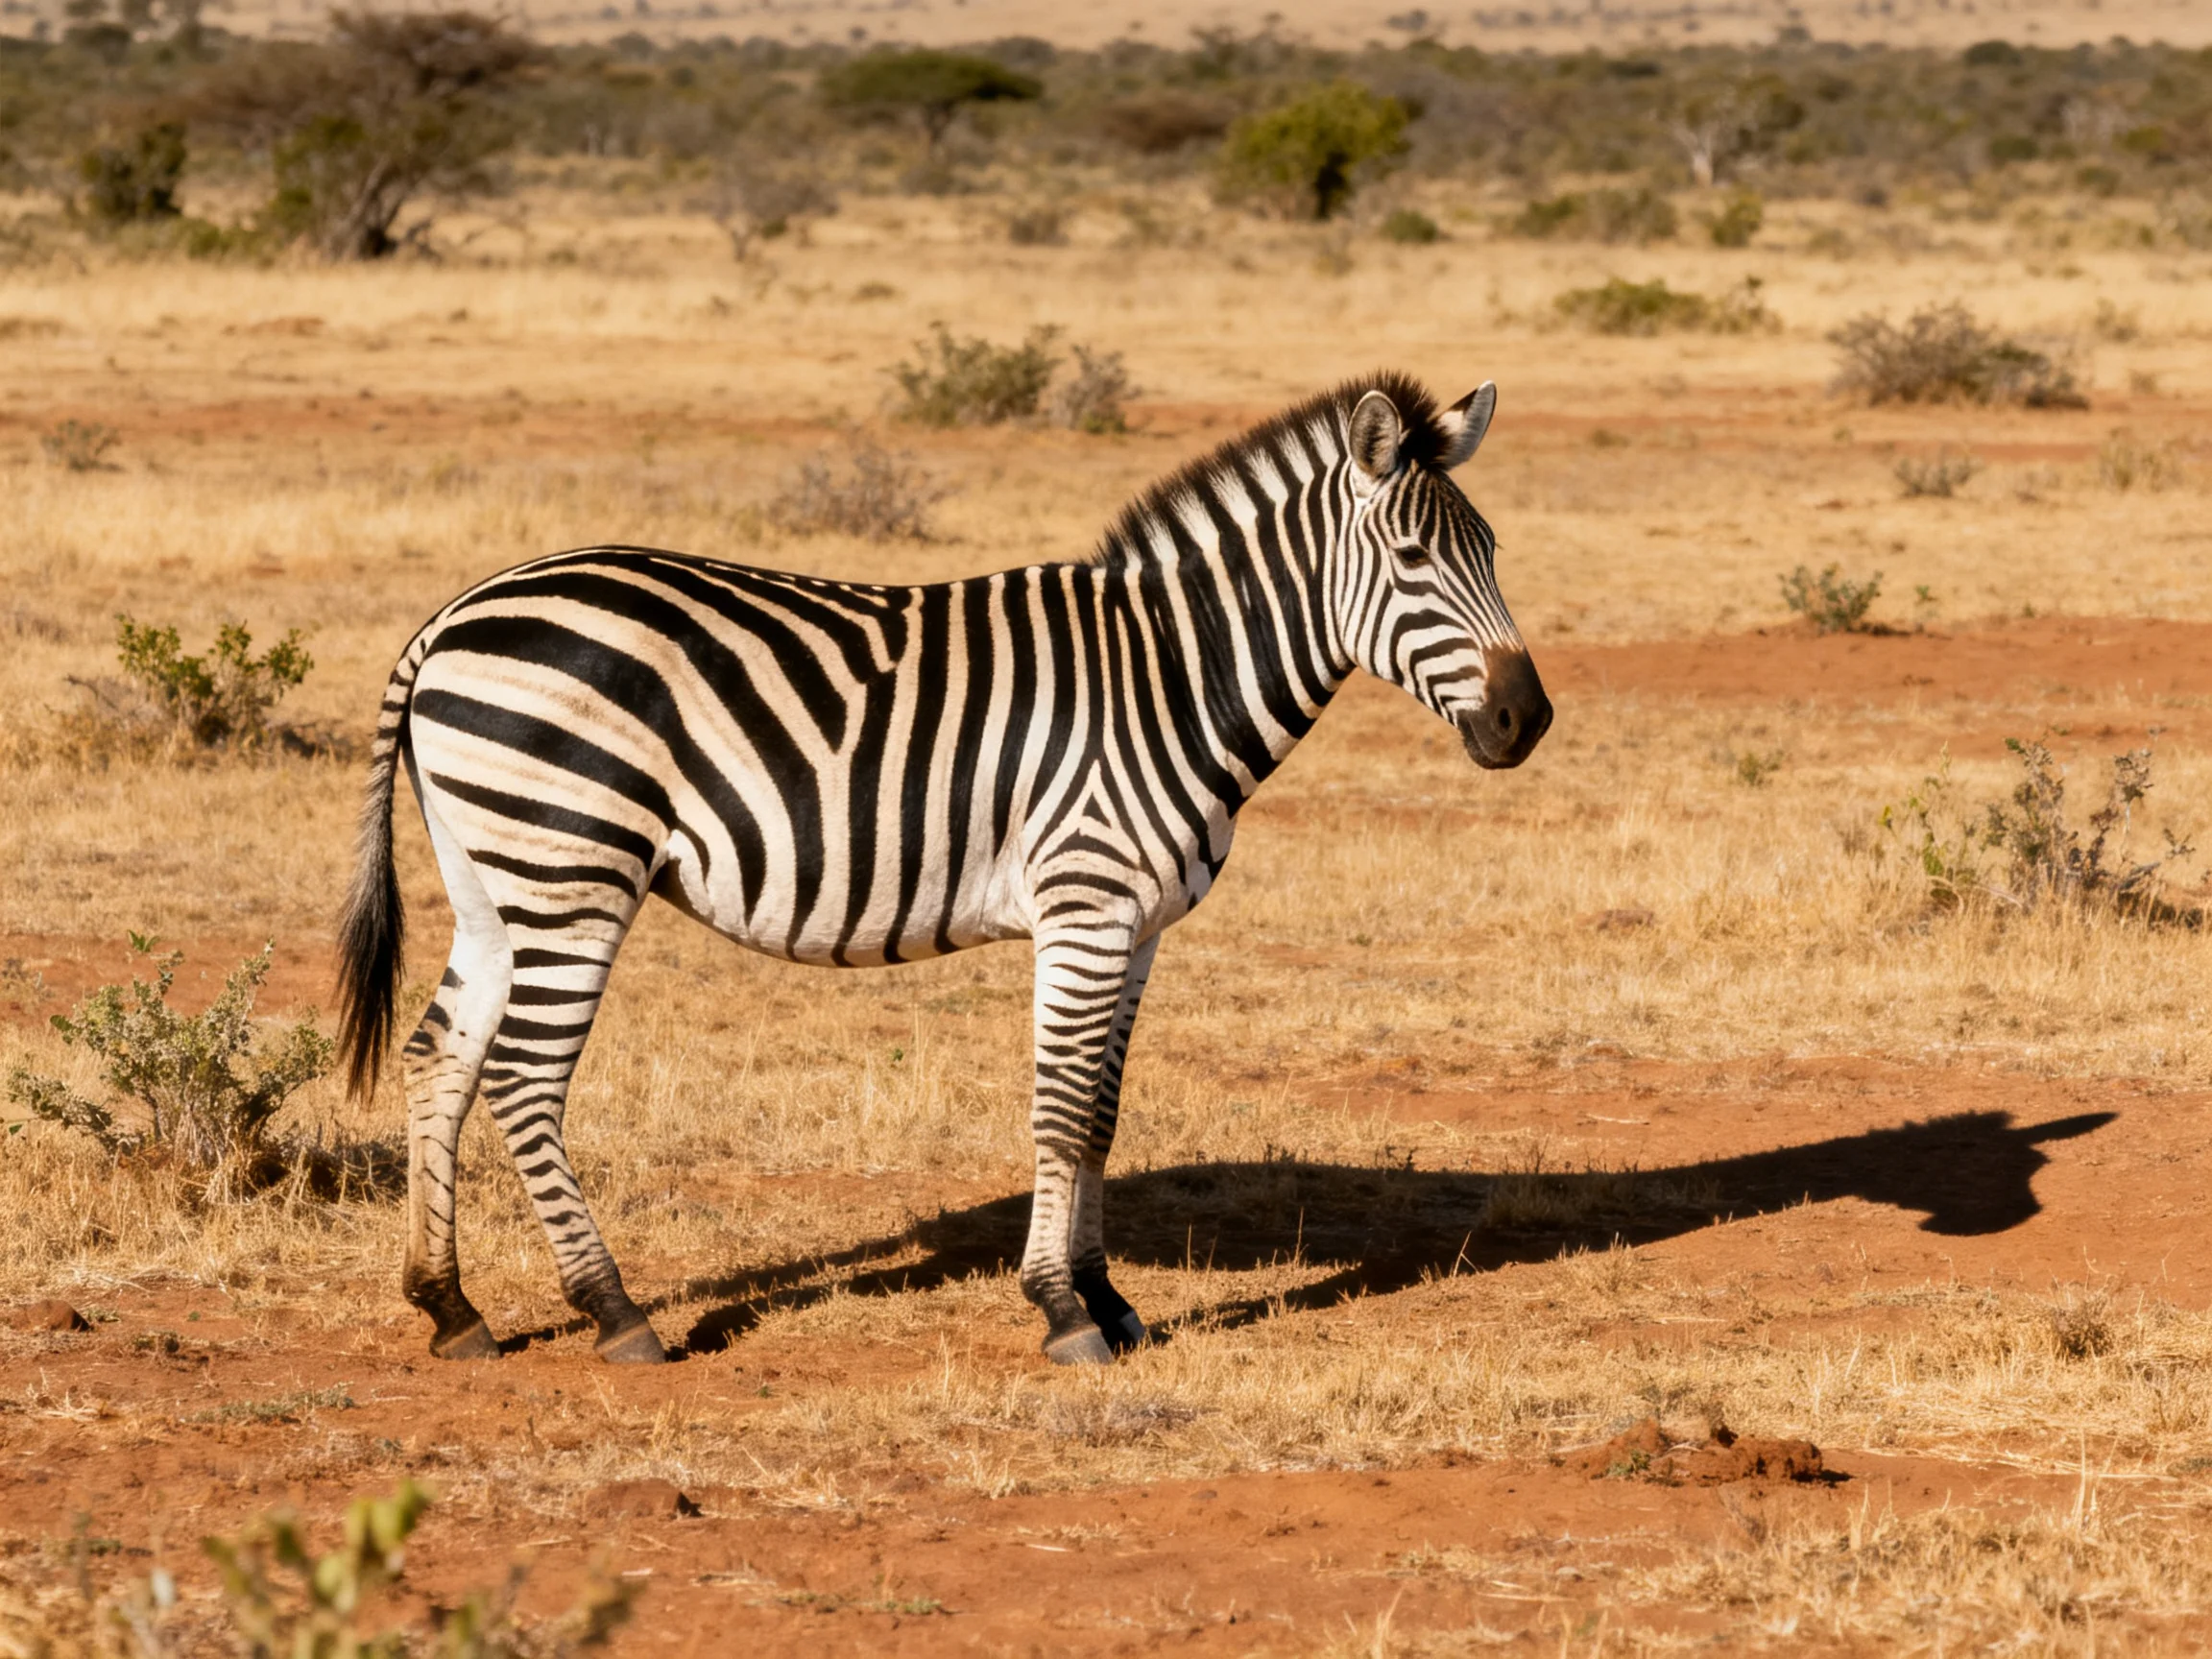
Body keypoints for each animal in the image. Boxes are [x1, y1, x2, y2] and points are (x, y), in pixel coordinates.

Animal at [336, 371, 1552, 1367]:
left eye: (1494, 553)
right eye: (1411, 562)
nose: (1526, 721)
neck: (1170, 677)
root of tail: (454, 614)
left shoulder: (1139, 924)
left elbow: (1101, 1114)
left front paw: (1110, 1300)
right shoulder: (1086, 903)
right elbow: (1060, 1108)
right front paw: (1062, 1311)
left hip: (496, 878)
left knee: (439, 1055)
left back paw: (450, 1309)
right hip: (572, 870)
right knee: (523, 1077)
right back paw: (614, 1311)